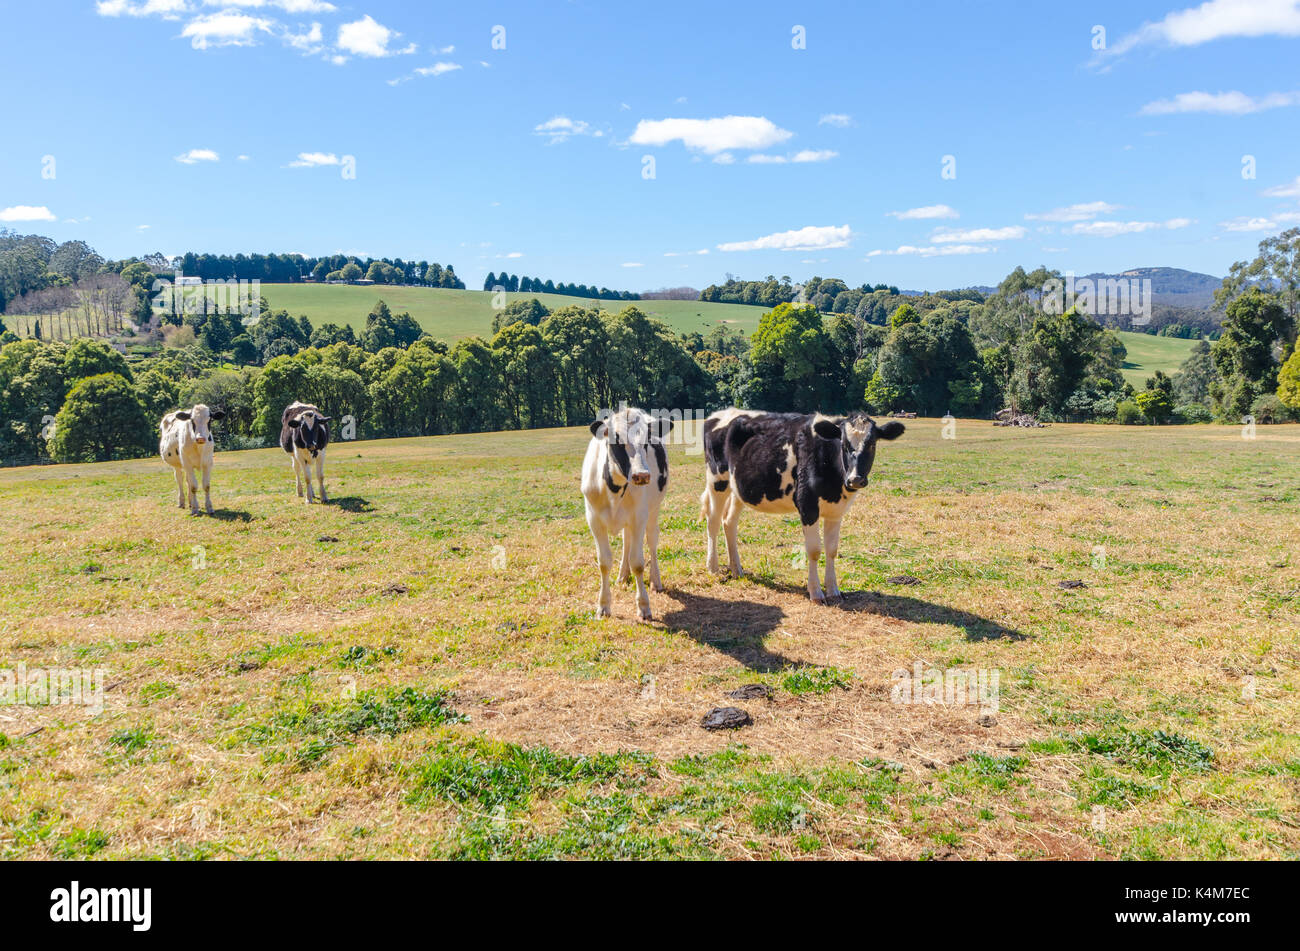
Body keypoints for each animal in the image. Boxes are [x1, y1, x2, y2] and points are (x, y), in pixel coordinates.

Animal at [585, 405, 676, 621]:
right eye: (616, 440)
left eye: (646, 441)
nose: (641, 475)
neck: (614, 489)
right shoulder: (593, 520)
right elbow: (604, 562)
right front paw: (603, 605)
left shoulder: (639, 518)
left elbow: (638, 563)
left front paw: (643, 606)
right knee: (626, 541)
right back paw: (622, 575)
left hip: (653, 511)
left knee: (652, 541)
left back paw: (655, 580)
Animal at [702, 407, 904, 602]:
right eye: (844, 444)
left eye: (872, 444)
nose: (855, 479)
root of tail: (718, 414)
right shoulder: (807, 505)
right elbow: (814, 550)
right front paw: (816, 593)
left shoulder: (836, 511)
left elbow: (832, 550)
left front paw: (834, 590)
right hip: (717, 480)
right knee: (713, 521)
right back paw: (713, 567)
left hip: (738, 488)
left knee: (729, 522)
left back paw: (737, 570)